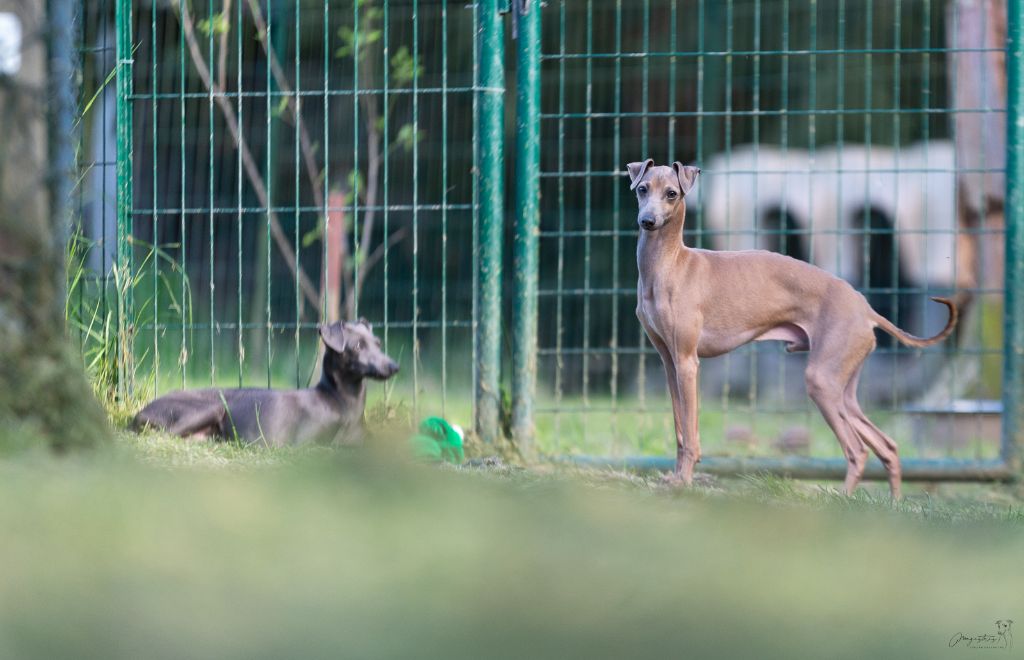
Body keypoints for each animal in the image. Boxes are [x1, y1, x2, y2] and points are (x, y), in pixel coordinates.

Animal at [129, 321, 399, 446]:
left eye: (378, 343)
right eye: (358, 346)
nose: (394, 366)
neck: (340, 402)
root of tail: (137, 414)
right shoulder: (304, 443)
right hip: (212, 407)